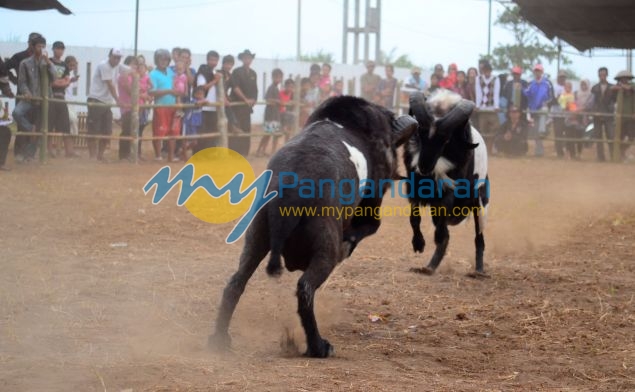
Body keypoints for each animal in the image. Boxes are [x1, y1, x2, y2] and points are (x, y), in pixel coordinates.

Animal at [214, 95, 420, 358]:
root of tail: (290, 187)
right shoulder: (368, 209)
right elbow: (369, 226)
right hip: (324, 249)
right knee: (305, 289)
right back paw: (318, 346)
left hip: (256, 238)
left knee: (235, 284)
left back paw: (219, 339)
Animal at [404, 90, 490, 278]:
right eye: (420, 133)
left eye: (446, 140)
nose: (424, 167)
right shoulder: (413, 186)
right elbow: (414, 218)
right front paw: (418, 244)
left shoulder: (450, 191)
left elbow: (442, 231)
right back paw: (428, 266)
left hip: (480, 204)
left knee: (479, 238)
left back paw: (478, 271)